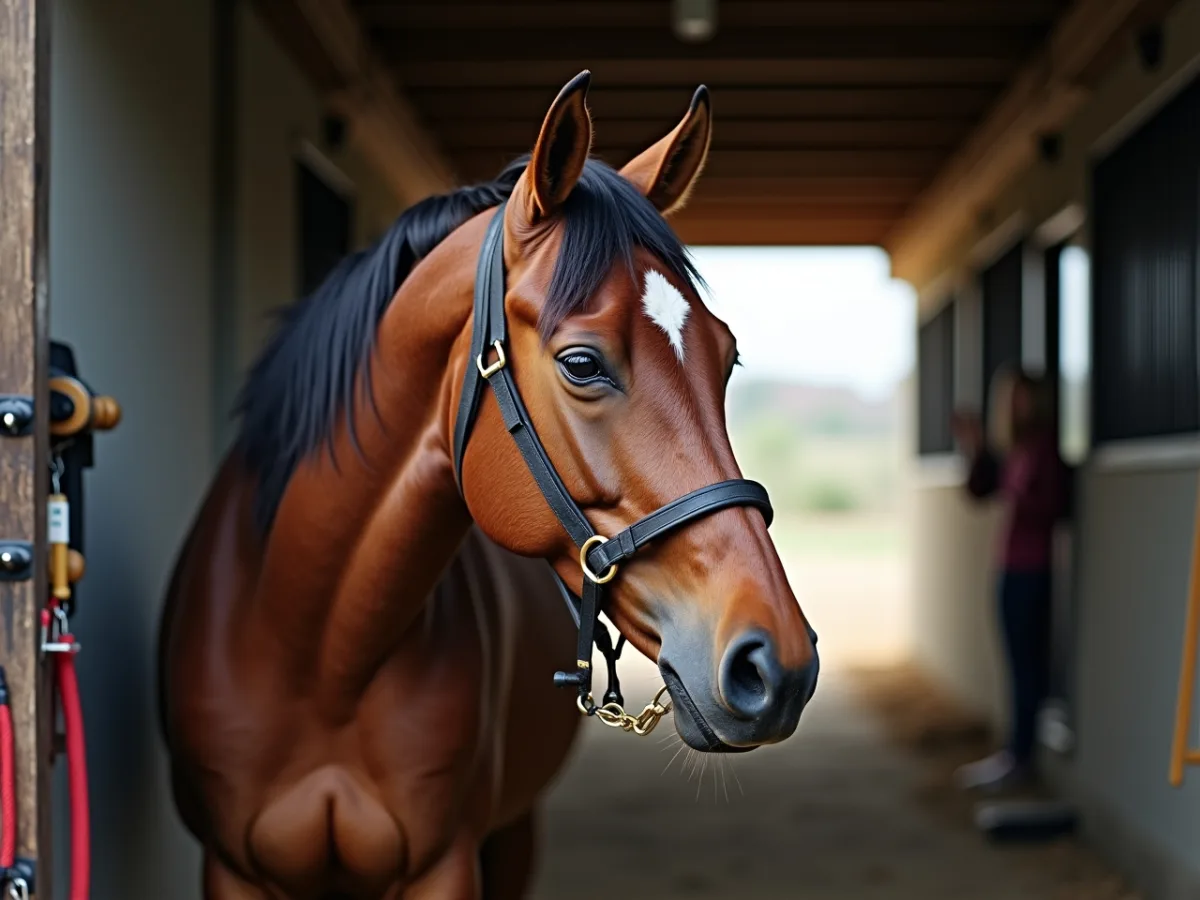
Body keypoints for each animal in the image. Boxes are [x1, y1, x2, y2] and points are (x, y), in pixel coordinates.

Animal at [158, 71, 820, 899]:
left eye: (725, 357)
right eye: (581, 363)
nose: (777, 665)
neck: (316, 653)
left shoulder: (448, 863)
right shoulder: (234, 869)